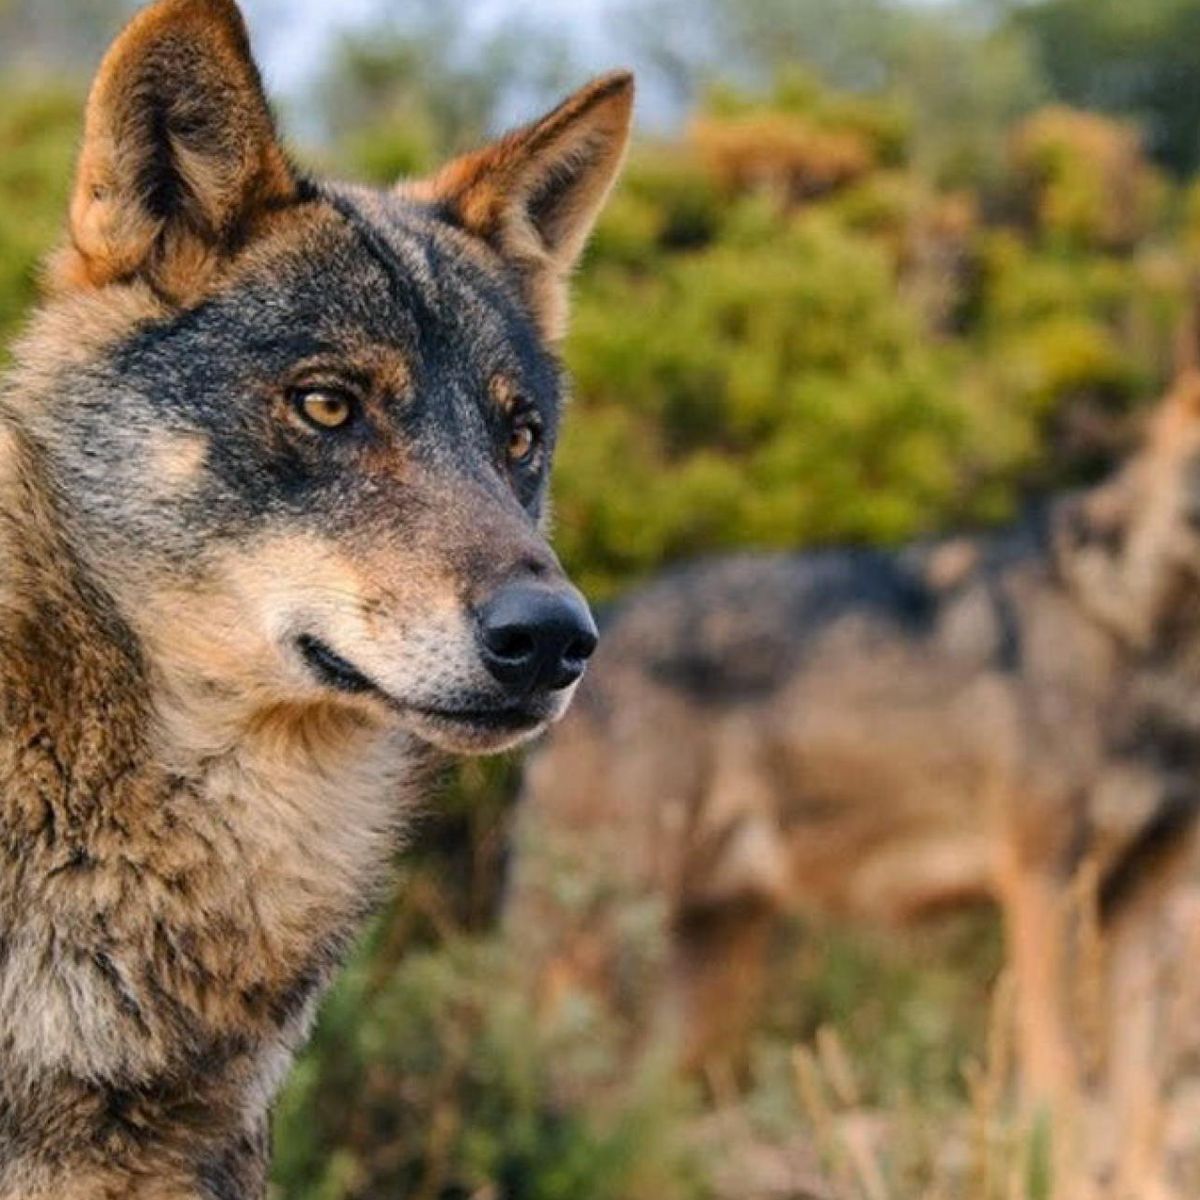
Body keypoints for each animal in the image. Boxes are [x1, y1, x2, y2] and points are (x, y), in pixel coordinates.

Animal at [508, 340, 1200, 1195]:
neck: (1147, 641)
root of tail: (588, 636)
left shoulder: (1145, 907)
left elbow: (1140, 1098)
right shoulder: (1042, 884)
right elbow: (1062, 1083)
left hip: (704, 981)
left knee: (629, 1125)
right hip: (600, 940)